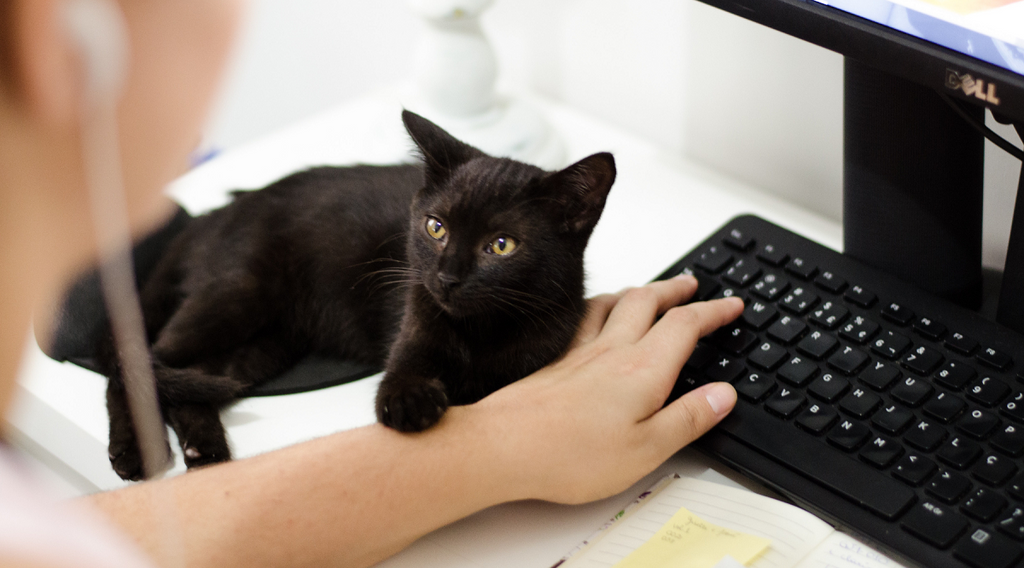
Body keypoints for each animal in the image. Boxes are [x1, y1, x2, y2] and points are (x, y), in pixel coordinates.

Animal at [97, 111, 614, 481]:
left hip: (265, 345)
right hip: (238, 293)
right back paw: (134, 451)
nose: (446, 278)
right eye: (436, 228)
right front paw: (410, 402)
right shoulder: (414, 323)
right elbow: (401, 377)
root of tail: (213, 214)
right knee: (137, 362)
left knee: (188, 380)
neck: (480, 331)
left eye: (502, 245)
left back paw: (205, 449)